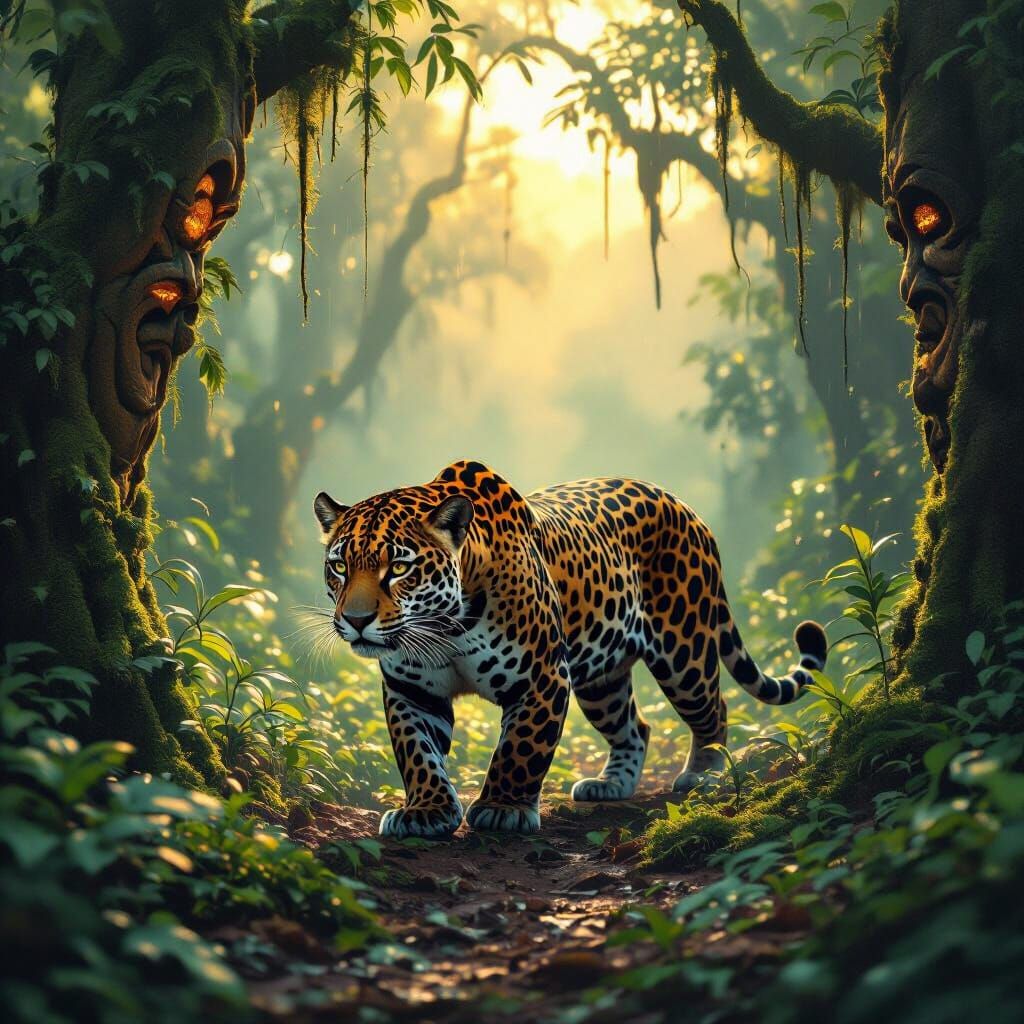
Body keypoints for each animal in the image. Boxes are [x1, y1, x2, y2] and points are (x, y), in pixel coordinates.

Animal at [313, 460, 828, 839]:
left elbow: (520, 748)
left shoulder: (541, 676)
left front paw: (503, 808)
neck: (443, 626)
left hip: (684, 649)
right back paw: (610, 784)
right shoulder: (411, 690)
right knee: (635, 726)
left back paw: (704, 775)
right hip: (602, 679)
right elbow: (417, 753)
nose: (355, 621)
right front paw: (426, 811)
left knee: (714, 708)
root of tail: (682, 502)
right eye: (339, 565)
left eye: (399, 567)